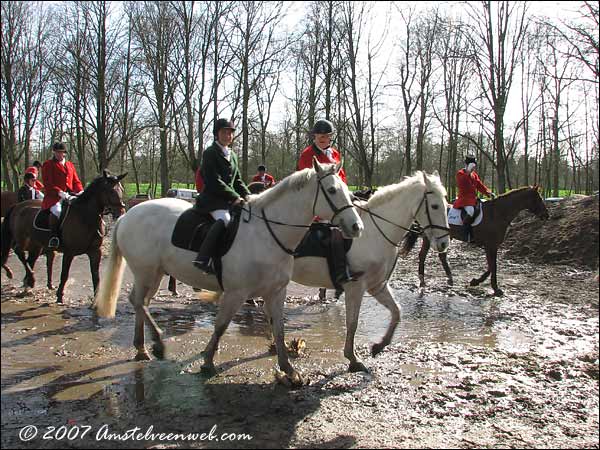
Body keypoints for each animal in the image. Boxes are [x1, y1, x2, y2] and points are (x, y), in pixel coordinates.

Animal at [2, 171, 126, 304]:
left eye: (121, 190)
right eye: (111, 191)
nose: (121, 213)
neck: (85, 217)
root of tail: (17, 206)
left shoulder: (95, 252)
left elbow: (95, 275)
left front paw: (96, 301)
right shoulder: (69, 252)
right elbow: (64, 274)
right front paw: (60, 296)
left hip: (36, 246)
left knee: (30, 260)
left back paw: (29, 281)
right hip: (23, 239)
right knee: (19, 252)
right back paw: (21, 276)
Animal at [96, 160, 364, 384]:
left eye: (347, 189)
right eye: (332, 190)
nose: (356, 227)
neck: (266, 233)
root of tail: (128, 215)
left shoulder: (276, 291)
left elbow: (278, 329)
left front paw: (289, 369)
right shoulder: (237, 292)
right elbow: (221, 325)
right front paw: (207, 362)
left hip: (155, 272)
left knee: (142, 302)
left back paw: (143, 348)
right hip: (145, 271)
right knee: (138, 301)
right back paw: (158, 343)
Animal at [290, 172, 450, 372]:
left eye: (447, 206)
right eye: (435, 206)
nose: (444, 243)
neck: (374, 233)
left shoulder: (377, 286)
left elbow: (397, 312)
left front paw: (379, 346)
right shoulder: (355, 287)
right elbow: (352, 323)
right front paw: (353, 358)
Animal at [406, 185, 552, 296]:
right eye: (538, 198)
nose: (547, 215)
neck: (498, 213)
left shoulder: (492, 246)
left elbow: (491, 266)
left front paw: (479, 282)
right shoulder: (490, 245)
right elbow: (492, 266)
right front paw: (491, 287)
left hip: (444, 238)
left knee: (441, 257)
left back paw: (450, 279)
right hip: (429, 238)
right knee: (422, 255)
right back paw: (422, 281)